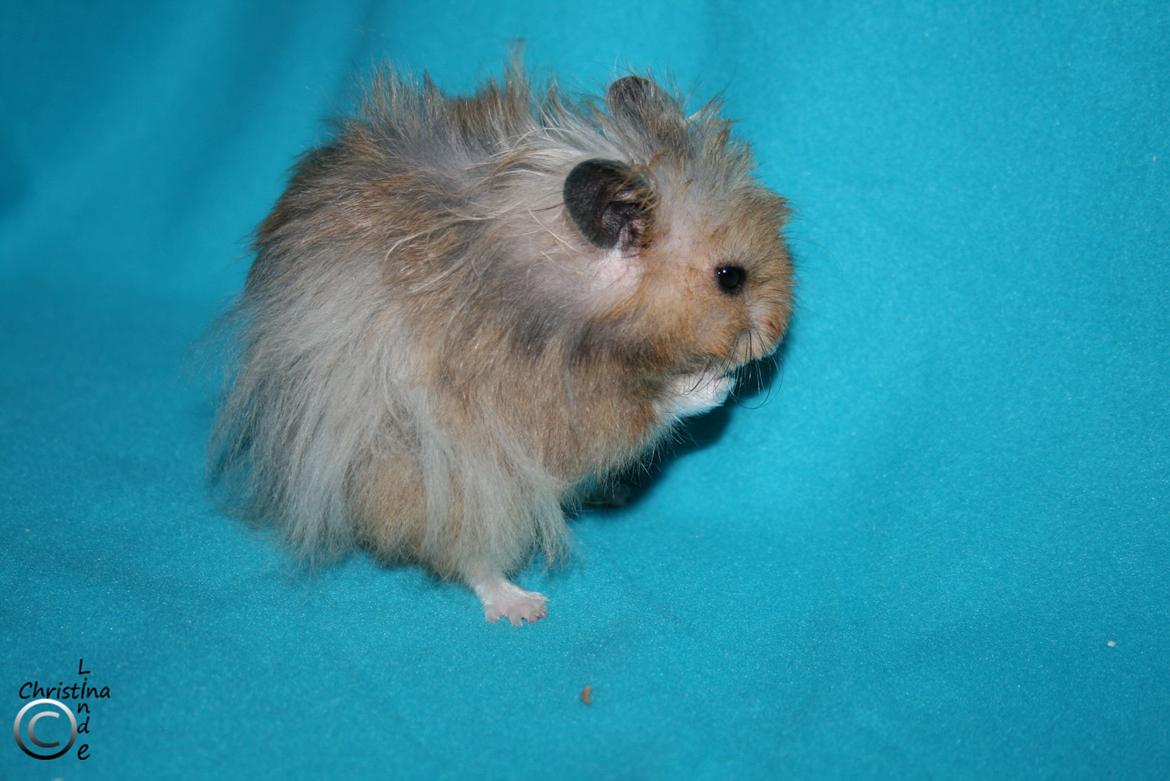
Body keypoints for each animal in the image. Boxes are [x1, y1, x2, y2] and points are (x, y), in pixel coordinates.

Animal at [210, 59, 793, 625]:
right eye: (730, 278)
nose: (774, 339)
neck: (566, 301)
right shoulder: (556, 407)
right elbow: (647, 409)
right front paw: (715, 383)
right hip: (453, 484)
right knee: (468, 555)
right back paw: (523, 607)